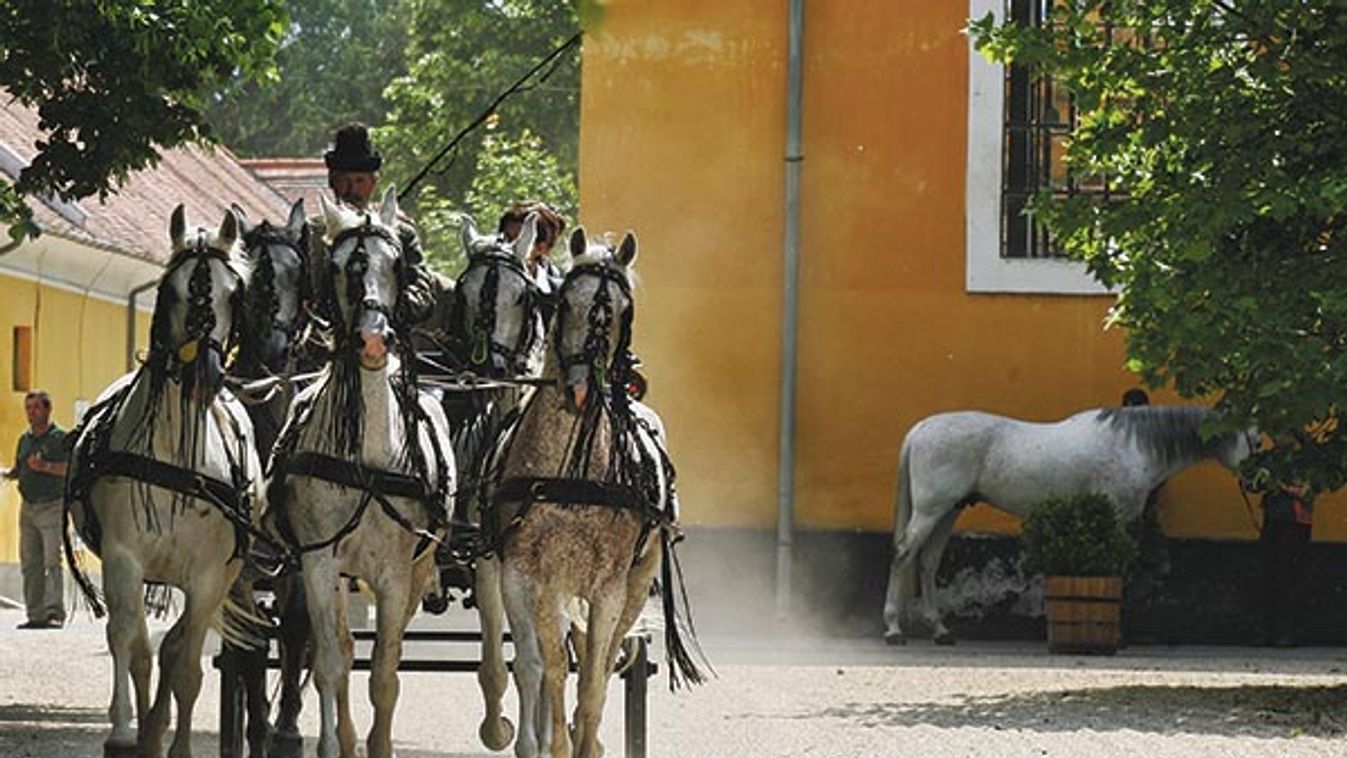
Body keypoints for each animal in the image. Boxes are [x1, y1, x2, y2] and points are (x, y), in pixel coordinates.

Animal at [64, 207, 262, 758]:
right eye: (171, 290)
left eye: (233, 293)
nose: (204, 373)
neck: (177, 453)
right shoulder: (123, 556)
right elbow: (127, 640)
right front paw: (123, 730)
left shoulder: (211, 577)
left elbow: (188, 665)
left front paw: (177, 743)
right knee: (145, 649)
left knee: (176, 649)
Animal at [265, 185, 455, 758]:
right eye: (341, 266)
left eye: (399, 263)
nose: (373, 341)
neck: (367, 459)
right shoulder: (318, 561)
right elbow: (331, 663)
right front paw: (336, 743)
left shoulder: (394, 573)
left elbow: (385, 675)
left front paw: (379, 744)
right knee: (332, 648)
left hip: (418, 569)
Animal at [883, 406, 1260, 648]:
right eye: (1255, 440)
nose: (1257, 483)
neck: (1132, 445)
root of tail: (922, 428)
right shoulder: (1116, 518)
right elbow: (1120, 572)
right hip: (931, 510)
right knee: (903, 555)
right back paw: (893, 630)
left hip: (948, 512)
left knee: (928, 563)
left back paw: (940, 631)